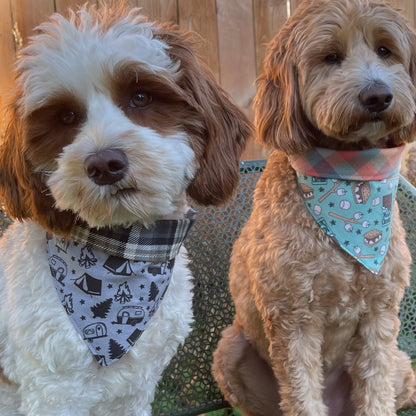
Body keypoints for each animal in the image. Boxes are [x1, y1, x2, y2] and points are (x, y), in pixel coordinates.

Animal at [0, 4, 250, 416]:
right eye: (66, 117)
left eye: (140, 96)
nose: (104, 164)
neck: (127, 248)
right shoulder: (53, 389)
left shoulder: (137, 383)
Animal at [214, 0, 416, 416]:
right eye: (330, 57)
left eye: (385, 50)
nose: (377, 95)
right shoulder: (293, 319)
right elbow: (302, 395)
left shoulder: (380, 312)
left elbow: (376, 391)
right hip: (229, 350)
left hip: (402, 365)